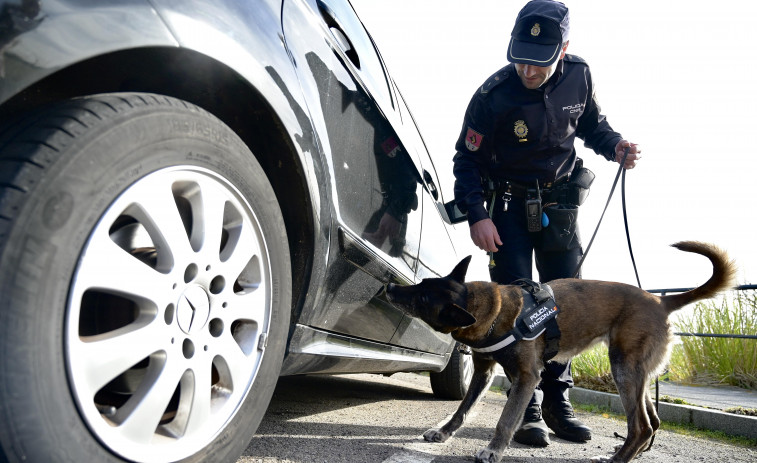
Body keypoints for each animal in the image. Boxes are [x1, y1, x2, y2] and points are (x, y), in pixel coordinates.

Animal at [384, 241, 732, 462]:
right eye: (421, 285)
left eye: (422, 299)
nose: (390, 286)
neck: (484, 307)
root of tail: (660, 300)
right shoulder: (483, 372)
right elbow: (462, 409)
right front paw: (444, 433)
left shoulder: (527, 377)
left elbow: (506, 419)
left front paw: (493, 451)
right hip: (636, 374)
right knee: (653, 422)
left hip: (623, 370)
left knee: (642, 426)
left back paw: (617, 459)